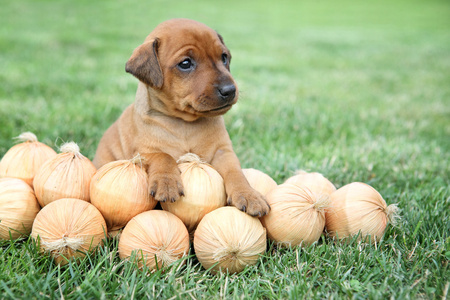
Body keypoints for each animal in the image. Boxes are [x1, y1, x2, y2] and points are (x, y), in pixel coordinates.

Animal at [92, 18, 268, 216]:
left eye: (224, 57)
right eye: (185, 63)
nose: (230, 90)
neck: (185, 123)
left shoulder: (223, 152)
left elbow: (236, 172)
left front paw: (249, 195)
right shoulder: (141, 152)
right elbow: (163, 156)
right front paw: (167, 183)